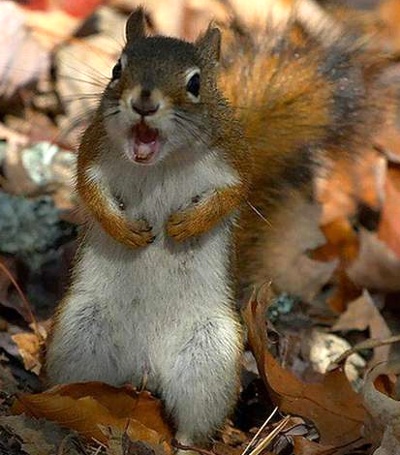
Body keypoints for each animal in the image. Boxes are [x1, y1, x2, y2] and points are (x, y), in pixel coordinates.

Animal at [45, 3, 388, 450]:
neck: (160, 164)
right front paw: (124, 230)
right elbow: (91, 193)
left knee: (194, 420)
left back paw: (185, 446)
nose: (144, 102)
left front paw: (187, 226)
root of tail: (144, 366)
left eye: (195, 83)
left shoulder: (234, 162)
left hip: (209, 358)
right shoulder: (93, 152)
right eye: (117, 69)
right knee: (77, 388)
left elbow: (232, 195)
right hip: (80, 336)